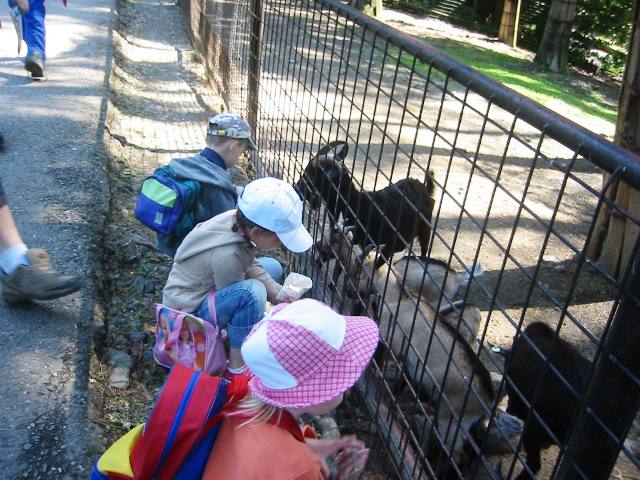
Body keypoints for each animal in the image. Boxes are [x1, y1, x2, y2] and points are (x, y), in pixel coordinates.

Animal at [296, 140, 436, 267]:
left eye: (313, 173)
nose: (297, 188)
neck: (357, 204)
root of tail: (425, 188)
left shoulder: (393, 244)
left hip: (425, 230)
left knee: (424, 250)